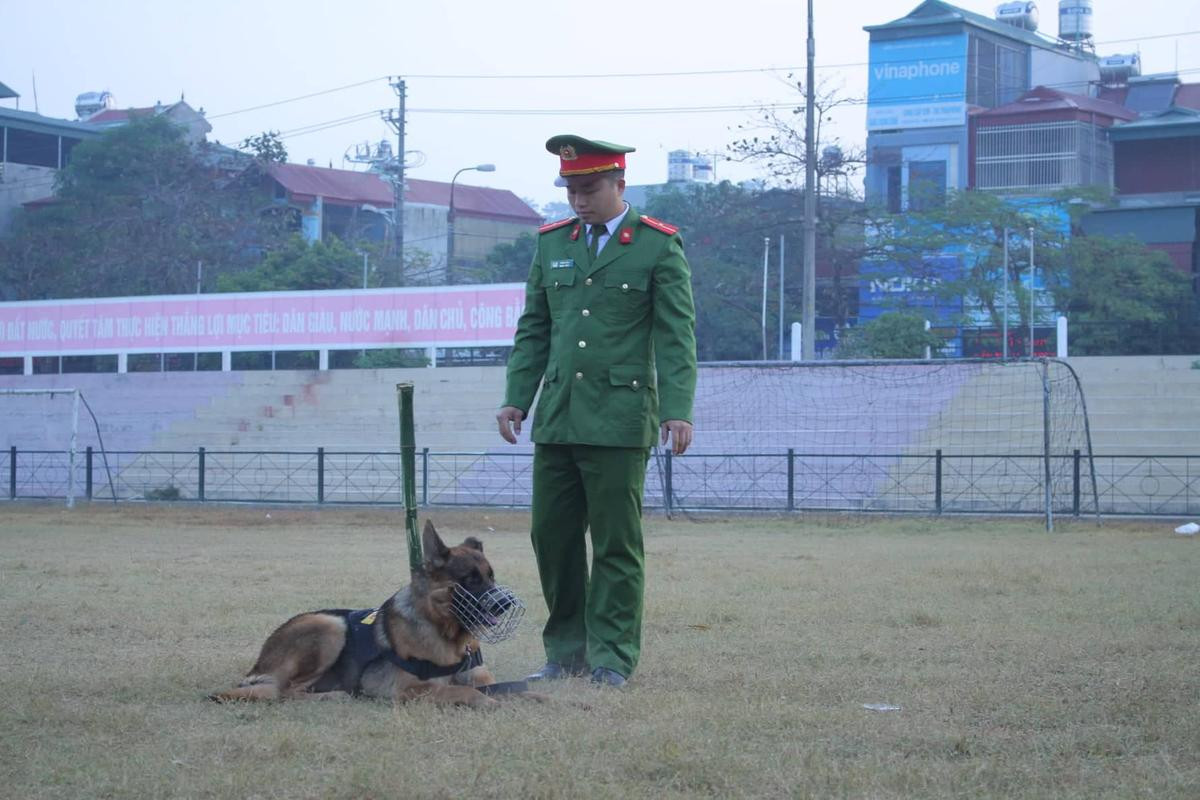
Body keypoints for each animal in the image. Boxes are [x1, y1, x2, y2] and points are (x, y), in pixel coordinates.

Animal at [210, 522, 525, 710]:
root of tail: (258, 666)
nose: (506, 603)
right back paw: (334, 696)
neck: (445, 634)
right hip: (330, 626)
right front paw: (493, 704)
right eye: (470, 580)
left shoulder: (481, 678)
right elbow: (467, 693)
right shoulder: (408, 691)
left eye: (491, 577)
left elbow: (511, 689)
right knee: (283, 692)